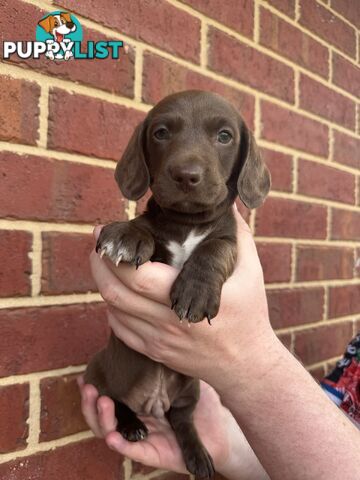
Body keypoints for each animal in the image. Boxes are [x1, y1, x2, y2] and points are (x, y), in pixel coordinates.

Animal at [84, 91, 270, 480]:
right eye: (161, 132)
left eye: (225, 136)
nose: (186, 175)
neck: (188, 223)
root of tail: (153, 401)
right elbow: (144, 225)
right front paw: (126, 235)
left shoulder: (230, 240)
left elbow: (215, 248)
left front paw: (195, 293)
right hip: (99, 372)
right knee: (114, 399)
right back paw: (131, 424)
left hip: (191, 389)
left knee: (183, 420)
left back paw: (198, 455)